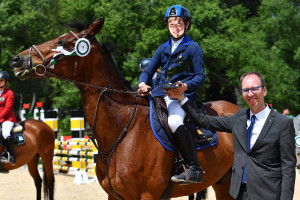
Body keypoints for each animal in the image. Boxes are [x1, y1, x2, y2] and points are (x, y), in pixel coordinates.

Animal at [9, 18, 239, 198]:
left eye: (63, 42)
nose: (17, 59)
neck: (123, 125)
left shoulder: (147, 196)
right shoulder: (115, 195)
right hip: (223, 183)